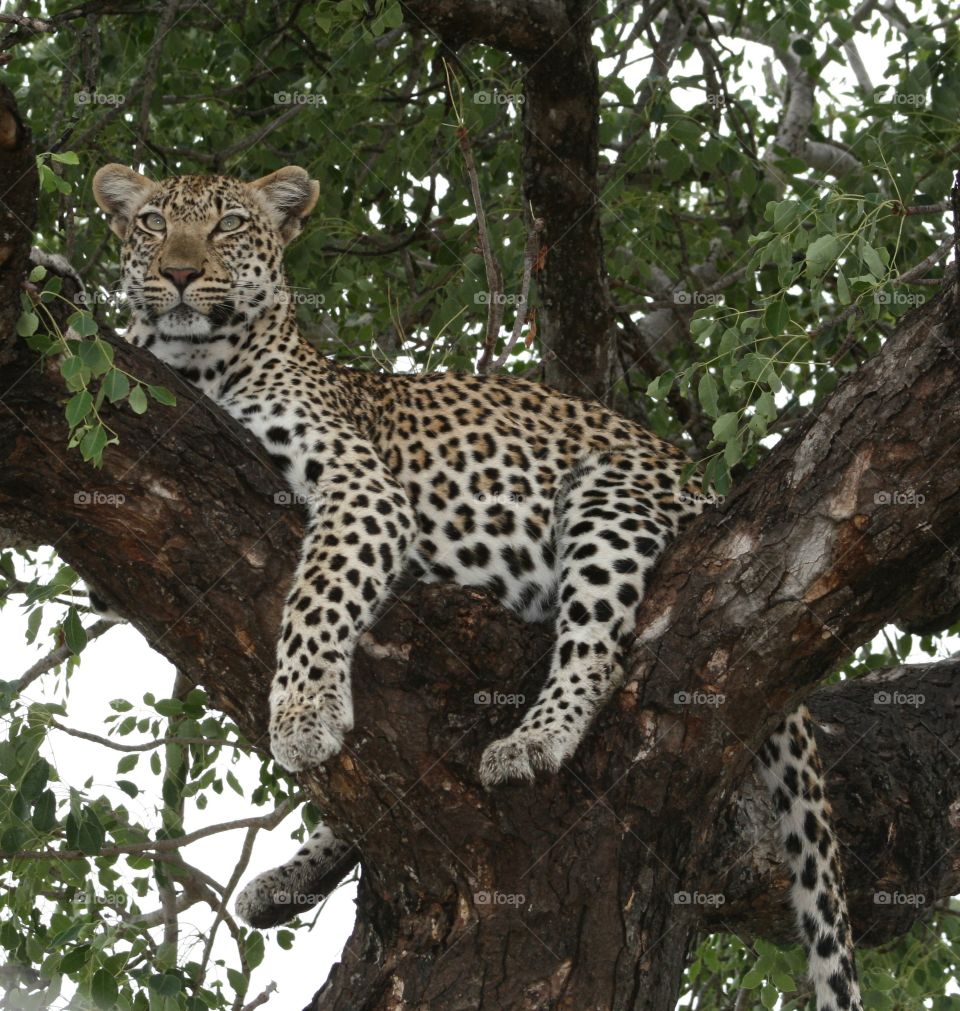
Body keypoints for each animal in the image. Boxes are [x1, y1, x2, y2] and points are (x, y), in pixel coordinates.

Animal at [91, 162, 862, 1011]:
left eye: (228, 224)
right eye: (153, 223)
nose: (179, 273)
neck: (197, 365)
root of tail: (705, 482)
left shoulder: (365, 489)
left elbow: (319, 596)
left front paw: (301, 711)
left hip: (607, 495)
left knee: (599, 650)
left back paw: (532, 739)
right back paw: (290, 878)